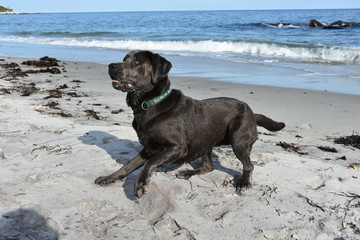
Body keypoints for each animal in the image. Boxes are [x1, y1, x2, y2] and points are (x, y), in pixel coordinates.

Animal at [95, 49, 284, 198]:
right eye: (124, 58)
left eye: (136, 62)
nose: (111, 66)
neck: (150, 104)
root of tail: (252, 113)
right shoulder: (148, 148)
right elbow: (128, 166)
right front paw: (109, 178)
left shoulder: (177, 148)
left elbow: (149, 164)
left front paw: (141, 185)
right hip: (205, 142)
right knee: (209, 166)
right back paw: (188, 172)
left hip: (238, 141)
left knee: (249, 165)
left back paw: (243, 182)